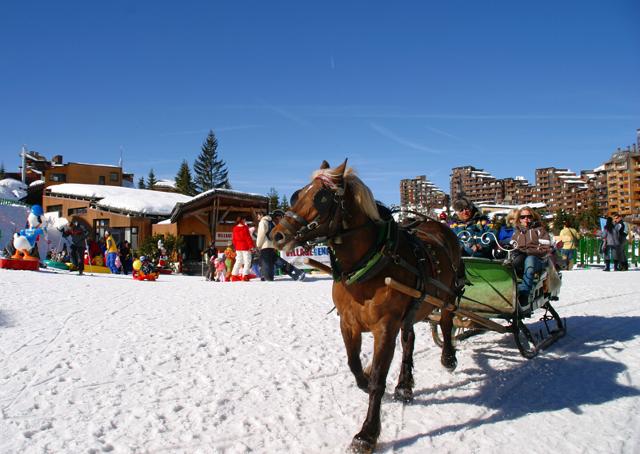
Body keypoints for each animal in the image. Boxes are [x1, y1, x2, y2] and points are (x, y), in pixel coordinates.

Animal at [272, 161, 464, 452]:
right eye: (296, 195)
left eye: (321, 197)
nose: (277, 235)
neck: (368, 265)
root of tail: (439, 225)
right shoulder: (348, 322)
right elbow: (354, 365)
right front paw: (366, 374)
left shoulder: (385, 327)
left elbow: (377, 382)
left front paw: (367, 434)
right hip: (412, 310)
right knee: (409, 340)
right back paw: (404, 385)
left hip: (448, 297)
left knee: (445, 321)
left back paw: (448, 358)